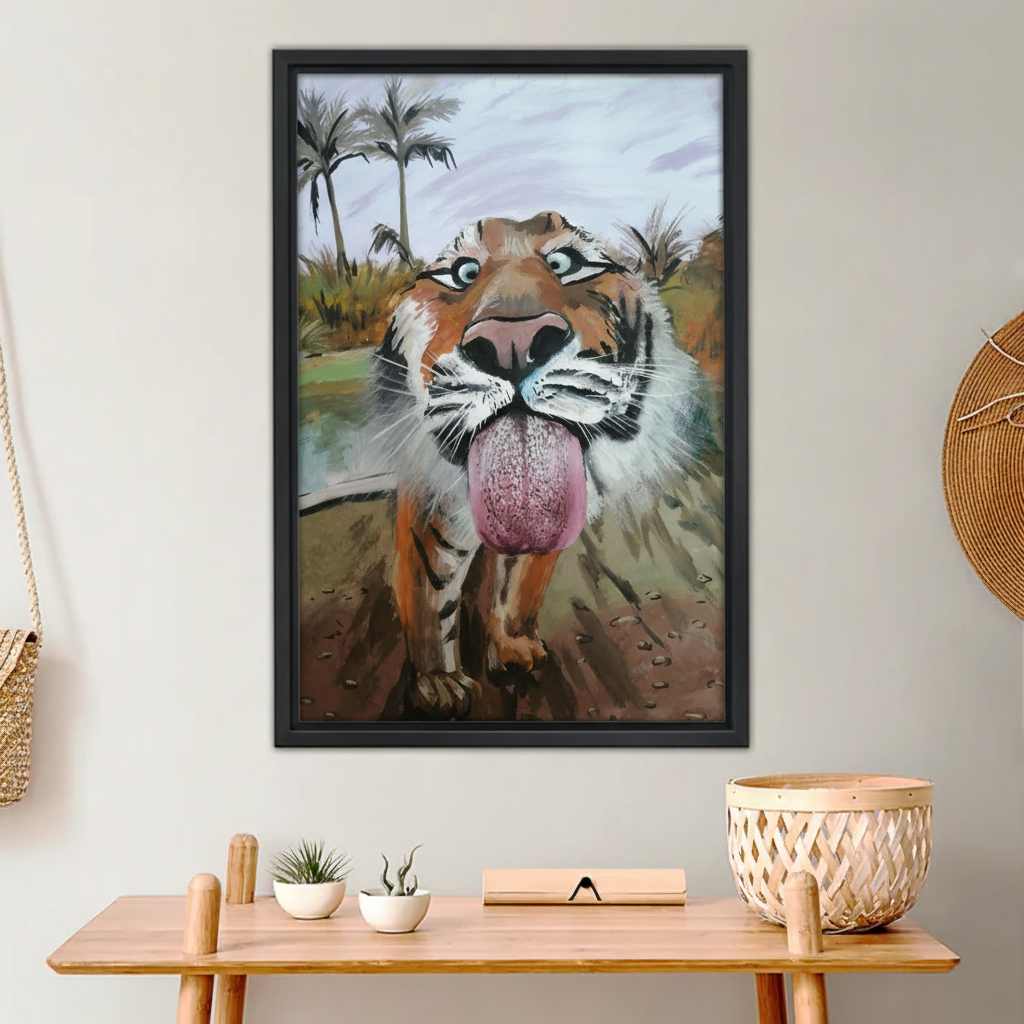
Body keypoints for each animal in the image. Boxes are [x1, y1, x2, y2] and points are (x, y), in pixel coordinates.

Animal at [371, 211, 717, 719]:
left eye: (563, 263)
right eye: (464, 273)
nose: (510, 343)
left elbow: (525, 581)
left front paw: (513, 646)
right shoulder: (431, 502)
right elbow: (427, 592)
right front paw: (438, 684)